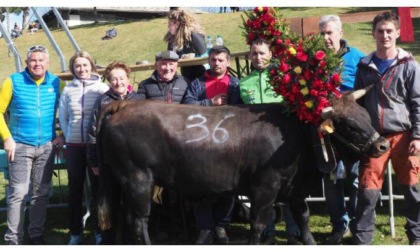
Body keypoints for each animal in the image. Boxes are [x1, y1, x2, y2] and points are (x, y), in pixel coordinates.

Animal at [97, 89, 388, 244]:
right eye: (350, 126)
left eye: (365, 115)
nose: (383, 145)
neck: (294, 133)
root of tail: (124, 105)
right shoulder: (265, 186)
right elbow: (258, 223)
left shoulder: (294, 187)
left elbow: (303, 217)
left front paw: (311, 242)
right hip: (138, 180)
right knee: (139, 221)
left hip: (123, 183)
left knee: (126, 218)